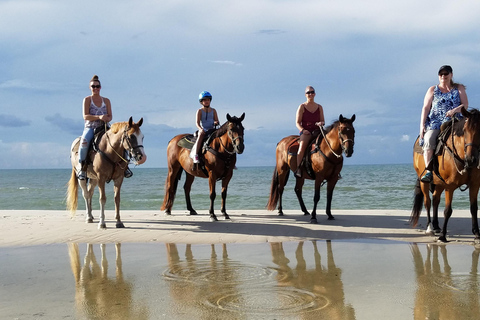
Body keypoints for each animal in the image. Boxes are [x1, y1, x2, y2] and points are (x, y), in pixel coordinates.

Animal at [408, 108, 480, 242]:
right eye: (465, 130)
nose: (472, 159)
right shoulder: (450, 186)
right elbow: (447, 210)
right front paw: (443, 236)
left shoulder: (474, 184)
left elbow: (473, 208)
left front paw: (477, 233)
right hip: (424, 182)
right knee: (428, 202)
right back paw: (430, 228)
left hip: (440, 183)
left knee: (435, 199)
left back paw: (436, 226)